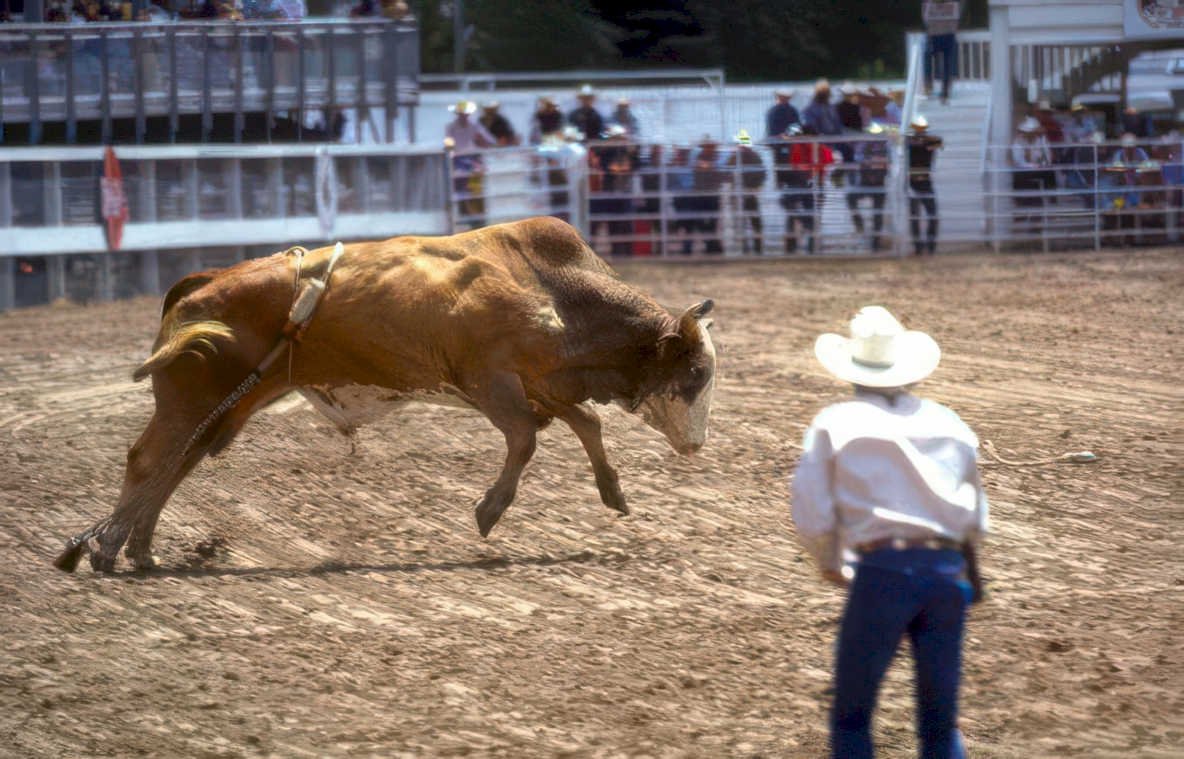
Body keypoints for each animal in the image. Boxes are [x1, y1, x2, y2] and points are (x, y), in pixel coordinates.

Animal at [55, 216, 717, 573]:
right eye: (696, 373)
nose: (698, 445)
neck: (550, 287)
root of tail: (204, 282)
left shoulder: (541, 383)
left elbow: (585, 425)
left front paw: (613, 493)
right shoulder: (492, 382)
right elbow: (527, 439)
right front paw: (489, 510)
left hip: (222, 407)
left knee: (176, 465)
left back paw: (139, 550)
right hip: (191, 399)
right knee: (150, 460)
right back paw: (107, 549)